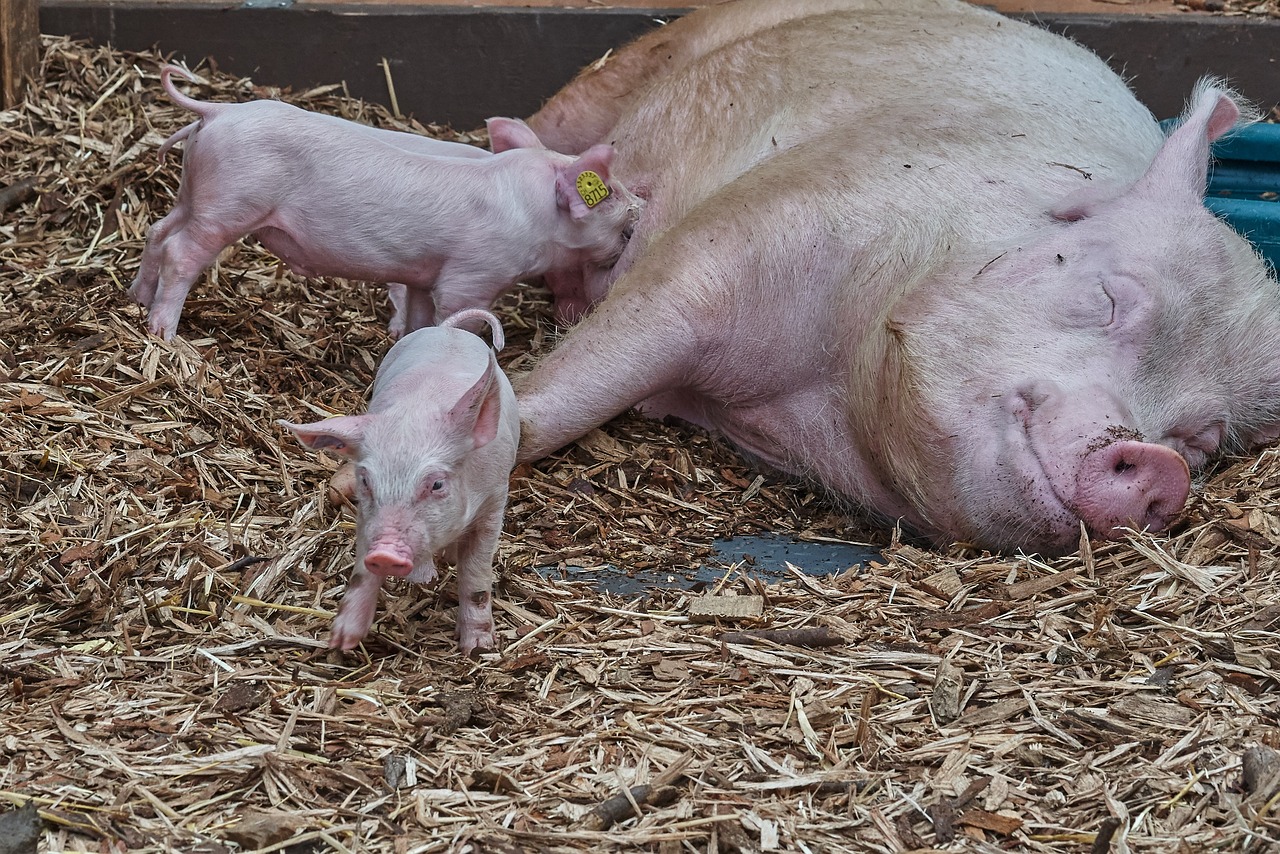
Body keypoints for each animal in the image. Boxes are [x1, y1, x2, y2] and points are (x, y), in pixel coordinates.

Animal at [129, 64, 640, 340]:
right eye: (610, 194)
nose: (639, 211)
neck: (530, 216)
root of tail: (219, 110)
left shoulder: (423, 274)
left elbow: (418, 315)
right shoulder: (472, 274)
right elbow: (456, 314)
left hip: (194, 192)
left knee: (158, 232)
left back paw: (136, 300)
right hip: (229, 204)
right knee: (182, 251)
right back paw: (164, 333)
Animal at [282, 311, 517, 660]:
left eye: (437, 484)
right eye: (366, 480)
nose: (385, 553)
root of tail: (448, 330)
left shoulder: (494, 499)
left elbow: (476, 576)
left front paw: (477, 649)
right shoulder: (367, 517)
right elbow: (361, 572)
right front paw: (341, 642)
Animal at [506, 0, 1280, 555]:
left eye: (1202, 439)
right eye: (1108, 298)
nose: (1158, 465)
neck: (824, 396)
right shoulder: (752, 230)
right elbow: (565, 396)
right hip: (632, 67)